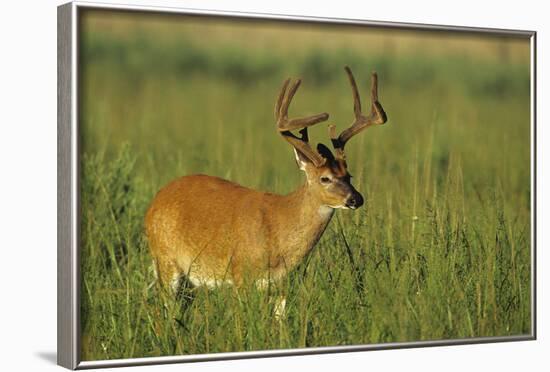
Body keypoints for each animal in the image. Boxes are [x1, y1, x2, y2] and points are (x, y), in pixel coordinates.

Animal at [147, 66, 388, 316]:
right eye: (325, 178)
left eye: (349, 175)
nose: (356, 199)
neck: (279, 232)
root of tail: (155, 201)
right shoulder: (240, 275)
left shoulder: (284, 285)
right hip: (165, 262)